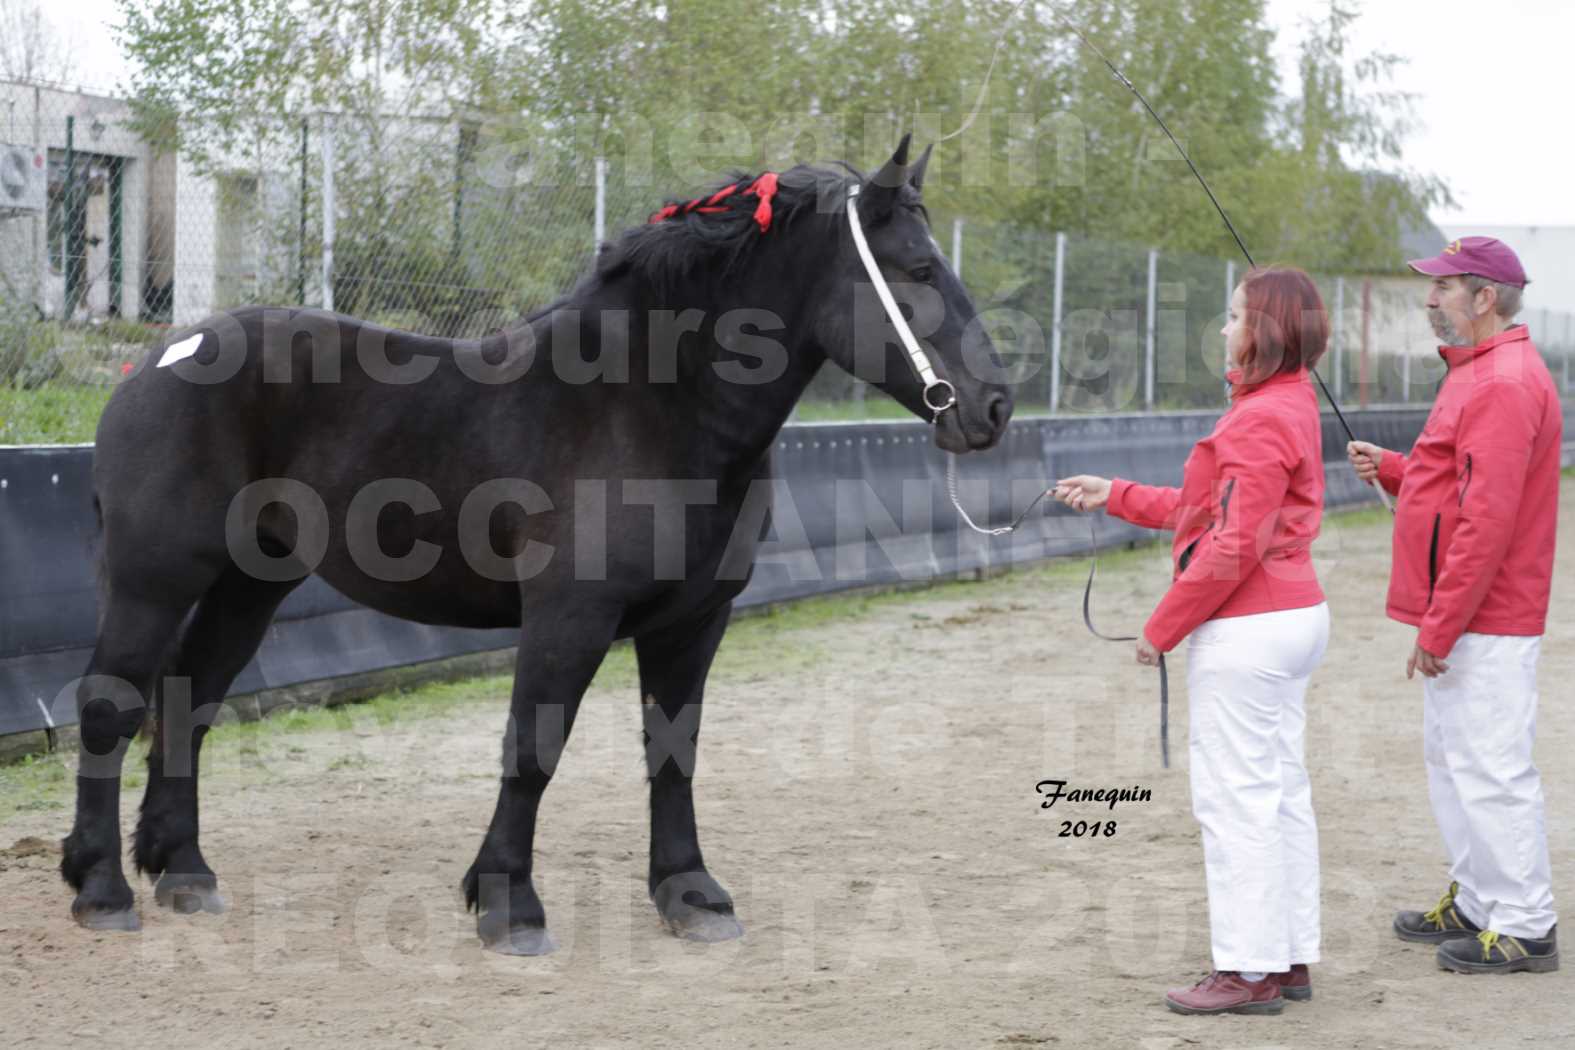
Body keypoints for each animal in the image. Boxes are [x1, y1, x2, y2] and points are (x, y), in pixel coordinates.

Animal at [58, 135, 1008, 957]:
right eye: (919, 270)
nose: (993, 408)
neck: (649, 403)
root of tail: (159, 358)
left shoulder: (694, 622)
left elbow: (673, 753)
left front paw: (691, 894)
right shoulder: (568, 617)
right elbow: (533, 748)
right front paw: (509, 903)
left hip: (249, 588)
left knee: (189, 698)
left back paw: (183, 872)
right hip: (155, 581)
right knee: (111, 705)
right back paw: (101, 888)